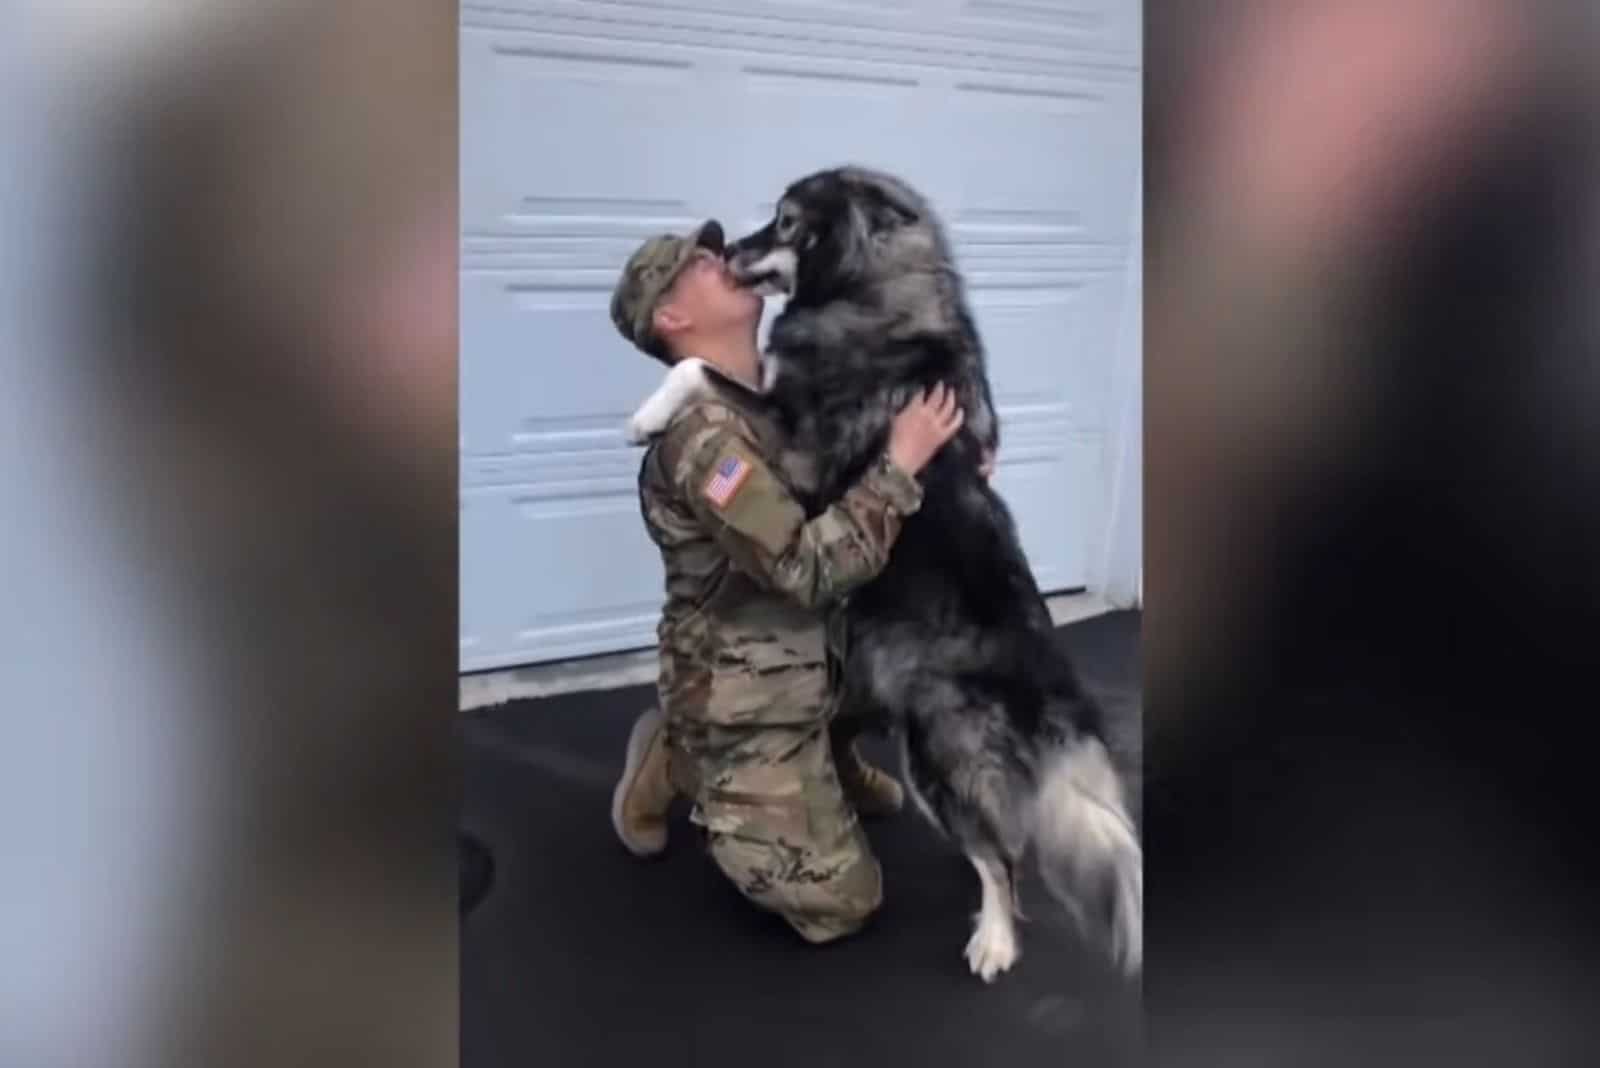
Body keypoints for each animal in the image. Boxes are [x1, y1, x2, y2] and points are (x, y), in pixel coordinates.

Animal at [624, 168, 1139, 984]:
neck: (868, 296)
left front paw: (646, 417)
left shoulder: (797, 453)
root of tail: (1056, 700)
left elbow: (698, 367)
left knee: (1001, 858)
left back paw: (994, 939)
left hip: (936, 750)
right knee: (1002, 843)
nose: (726, 250)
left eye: (785, 222)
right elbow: (708, 368)